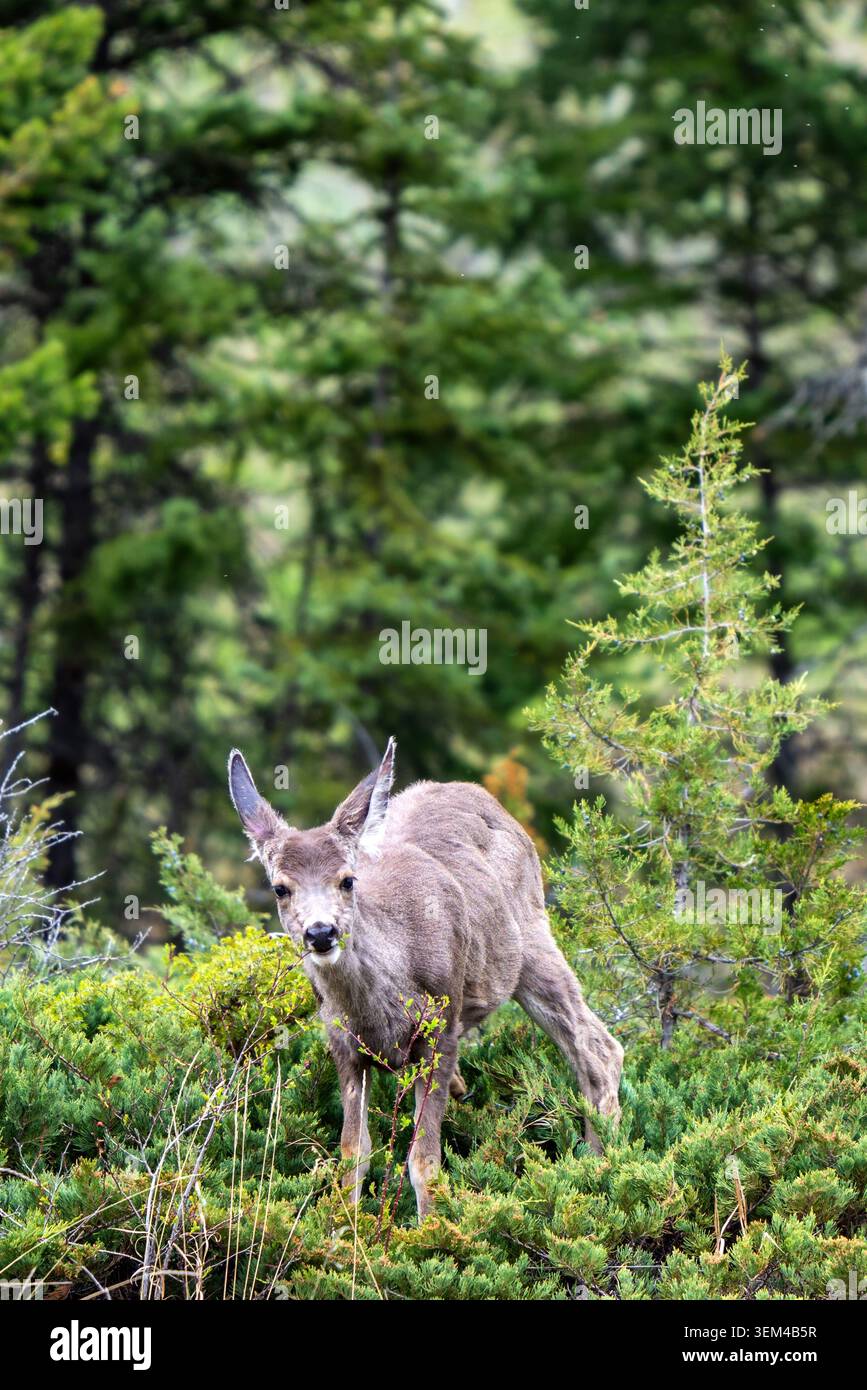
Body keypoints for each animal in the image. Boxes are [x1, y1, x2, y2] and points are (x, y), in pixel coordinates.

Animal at [228, 738, 624, 1221]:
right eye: (281, 888)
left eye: (347, 880)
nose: (321, 933)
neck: (378, 1008)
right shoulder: (342, 1044)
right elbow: (353, 1152)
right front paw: (345, 1228)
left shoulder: (441, 1030)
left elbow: (424, 1162)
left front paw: (429, 1231)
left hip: (531, 938)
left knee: (599, 1047)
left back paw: (598, 1166)